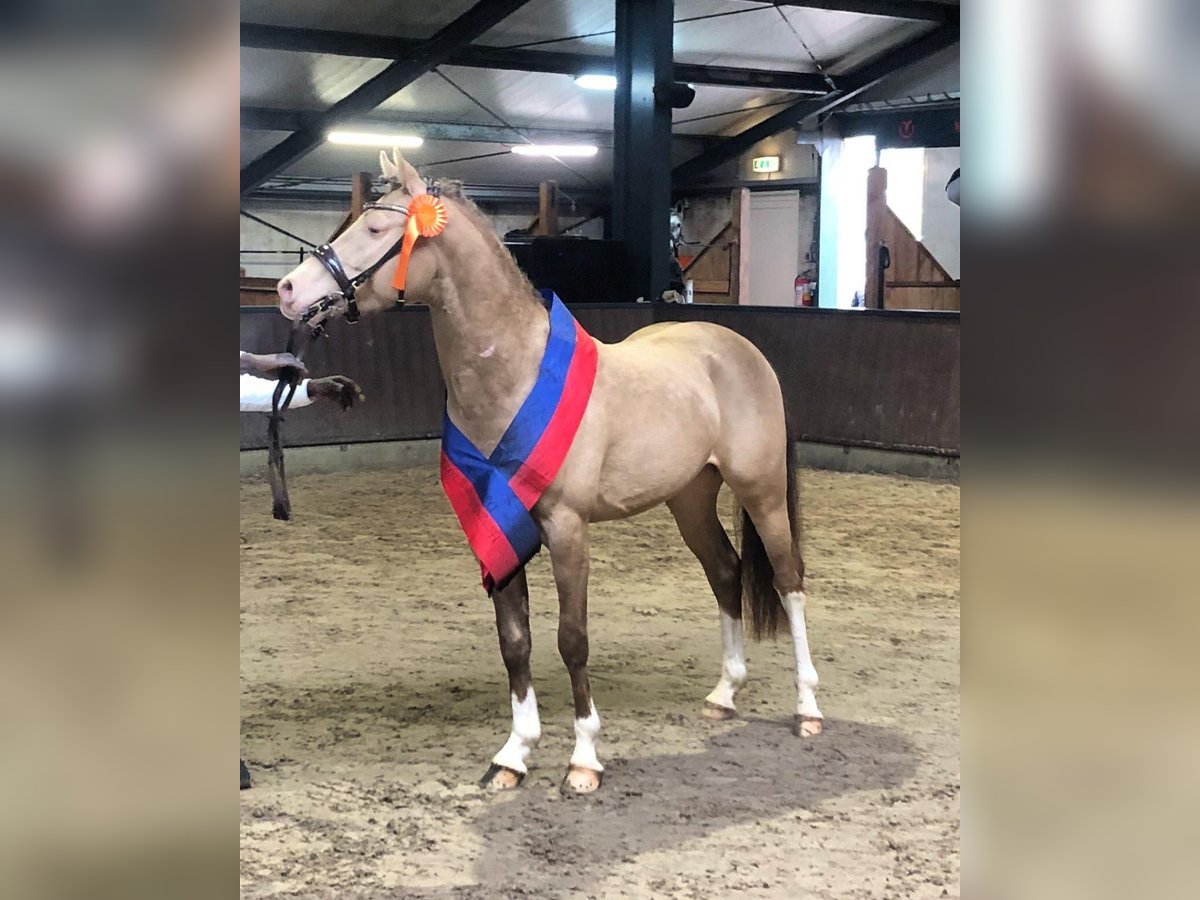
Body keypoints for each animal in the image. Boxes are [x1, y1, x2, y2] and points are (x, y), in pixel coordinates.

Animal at [274, 153, 820, 796]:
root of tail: (739, 349)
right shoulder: (493, 526)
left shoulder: (566, 528)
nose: (288, 290)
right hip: (689, 498)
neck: (516, 376)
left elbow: (572, 639)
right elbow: (516, 642)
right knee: (726, 571)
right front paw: (514, 754)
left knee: (788, 579)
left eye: (377, 229)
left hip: (763, 492)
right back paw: (724, 694)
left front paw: (584, 759)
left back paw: (808, 707)